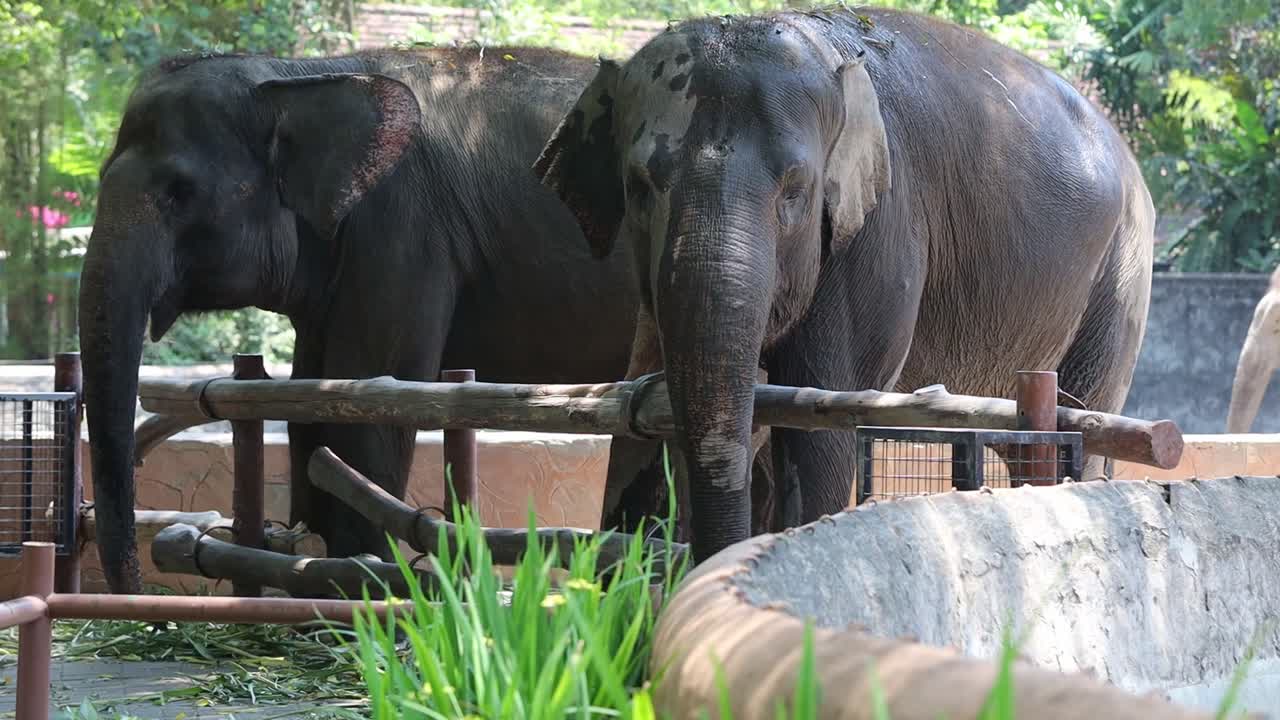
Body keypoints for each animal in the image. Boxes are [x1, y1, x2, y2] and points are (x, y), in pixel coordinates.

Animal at [79, 46, 643, 594]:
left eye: (180, 192)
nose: (132, 587)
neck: (303, 75)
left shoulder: (405, 232)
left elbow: (369, 403)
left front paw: (362, 592)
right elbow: (308, 401)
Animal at [534, 7, 1156, 564]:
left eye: (796, 190)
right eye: (640, 186)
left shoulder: (880, 227)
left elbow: (820, 429)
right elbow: (645, 415)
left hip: (1122, 276)